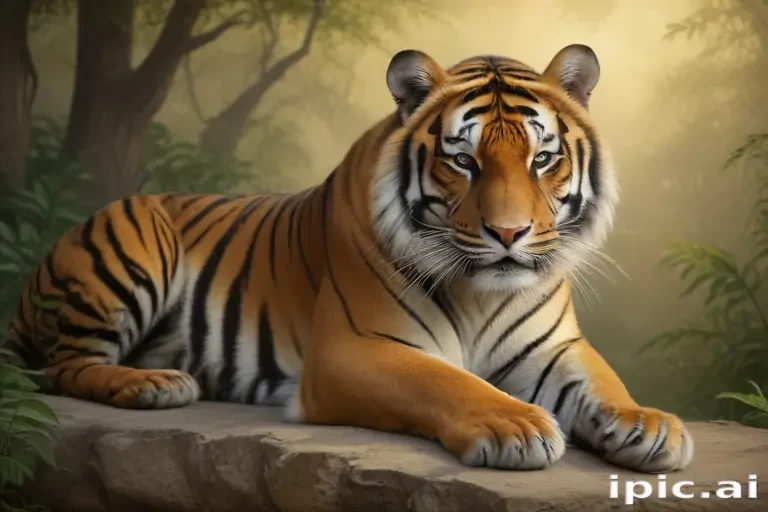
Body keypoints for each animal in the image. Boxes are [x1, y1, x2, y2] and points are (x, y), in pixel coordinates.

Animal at [4, 44, 693, 473]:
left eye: (542, 159)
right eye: (463, 160)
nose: (509, 233)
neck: (482, 292)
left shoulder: (552, 347)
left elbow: (602, 381)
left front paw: (648, 424)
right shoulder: (355, 349)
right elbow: (446, 381)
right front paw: (515, 426)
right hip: (138, 239)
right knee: (64, 368)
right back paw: (153, 385)